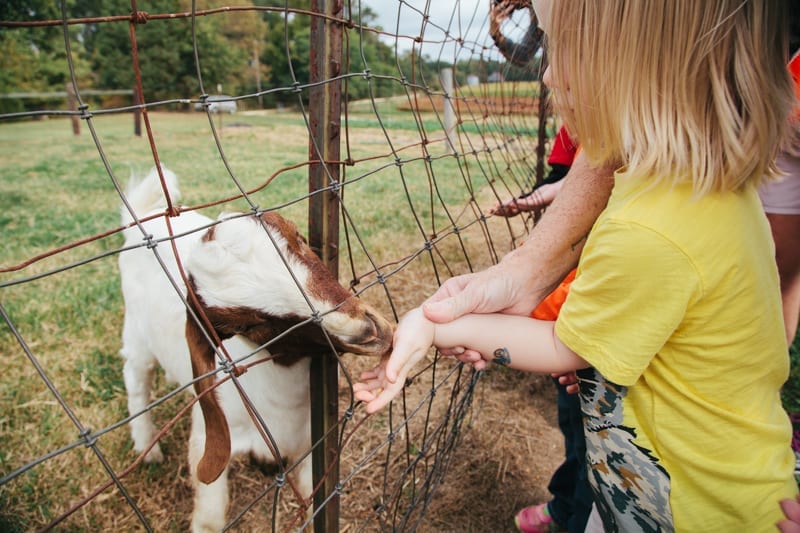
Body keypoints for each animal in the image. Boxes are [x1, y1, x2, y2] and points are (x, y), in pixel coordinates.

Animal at [119, 164, 394, 528]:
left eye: (299, 239)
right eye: (249, 325)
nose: (370, 332)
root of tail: (142, 218)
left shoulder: (311, 446)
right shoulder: (208, 440)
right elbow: (209, 518)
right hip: (136, 334)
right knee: (136, 379)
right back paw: (147, 448)